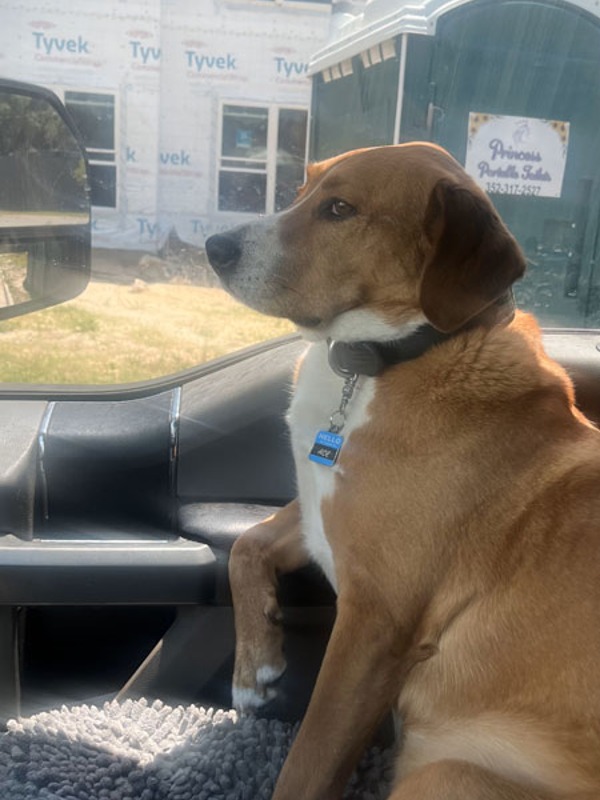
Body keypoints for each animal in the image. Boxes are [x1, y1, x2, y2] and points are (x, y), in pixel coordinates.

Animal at [205, 145, 600, 800]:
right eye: (301, 190)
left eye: (340, 209)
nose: (214, 247)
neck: (374, 366)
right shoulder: (322, 517)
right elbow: (247, 543)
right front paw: (253, 665)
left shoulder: (375, 624)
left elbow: (308, 761)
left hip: (445, 777)